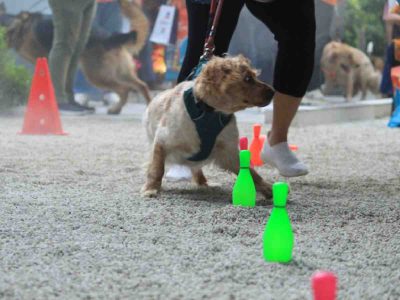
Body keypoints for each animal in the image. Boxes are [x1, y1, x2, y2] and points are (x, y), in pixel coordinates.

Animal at [1, 0, 152, 113]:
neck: (19, 26)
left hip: (98, 75)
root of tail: (111, 37)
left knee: (124, 89)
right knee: (141, 85)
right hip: (119, 73)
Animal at [141, 55, 276, 200]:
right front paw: (151, 188)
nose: (273, 92)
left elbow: (251, 172)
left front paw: (266, 188)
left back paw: (203, 183)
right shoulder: (162, 141)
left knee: (196, 168)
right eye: (247, 78)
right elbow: (157, 168)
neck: (208, 112)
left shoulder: (229, 151)